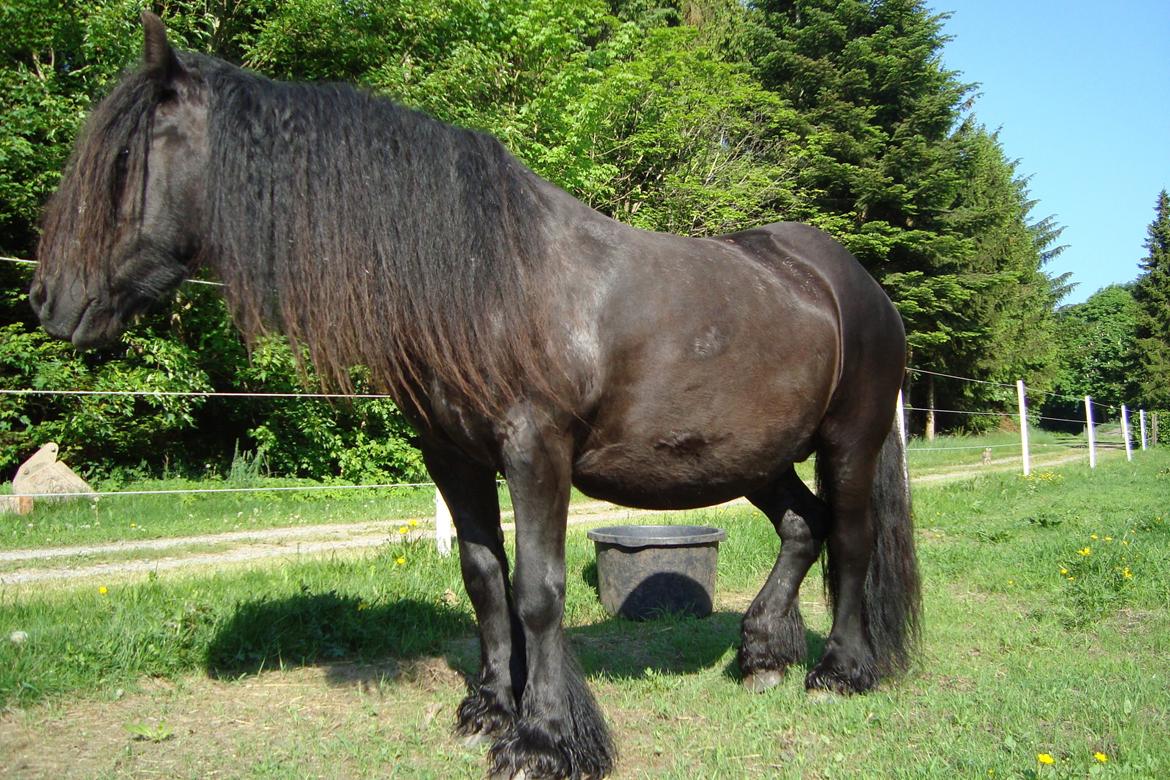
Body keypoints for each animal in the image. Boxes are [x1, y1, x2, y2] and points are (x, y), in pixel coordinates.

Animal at [30, 13, 920, 779]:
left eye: (122, 164)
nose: (46, 302)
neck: (484, 279)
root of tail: (849, 282)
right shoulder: (453, 457)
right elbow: (484, 578)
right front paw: (490, 708)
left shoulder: (536, 453)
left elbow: (539, 591)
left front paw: (547, 739)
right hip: (750, 456)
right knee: (802, 527)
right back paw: (763, 653)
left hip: (848, 440)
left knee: (850, 537)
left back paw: (840, 671)